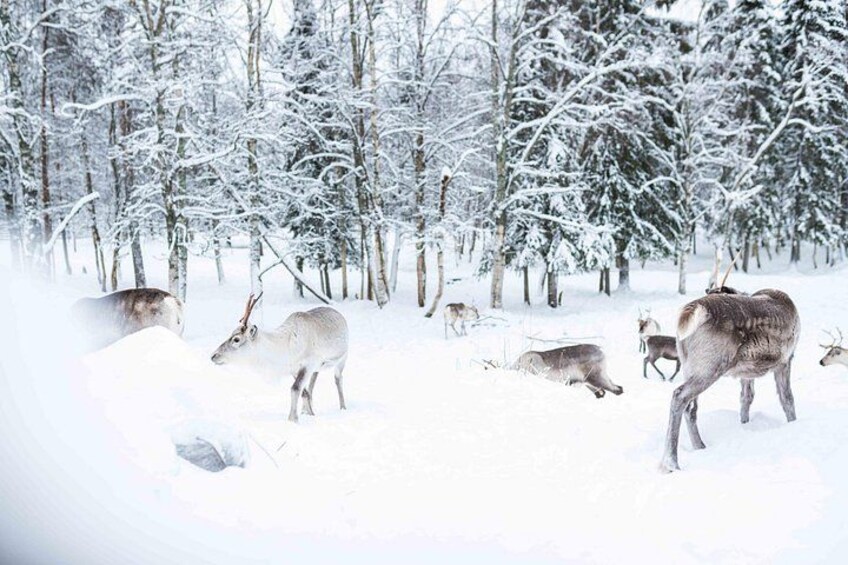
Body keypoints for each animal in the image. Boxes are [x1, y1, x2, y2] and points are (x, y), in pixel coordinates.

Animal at [210, 294, 349, 424]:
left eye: (236, 339)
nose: (213, 355)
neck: (284, 348)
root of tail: (339, 314)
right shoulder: (294, 369)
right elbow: (303, 393)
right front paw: (309, 413)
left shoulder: (308, 364)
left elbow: (295, 389)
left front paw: (293, 419)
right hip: (317, 368)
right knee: (312, 385)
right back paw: (305, 410)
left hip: (342, 359)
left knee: (338, 380)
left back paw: (343, 407)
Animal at [660, 253, 800, 473]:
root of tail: (692, 310)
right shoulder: (786, 360)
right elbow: (787, 399)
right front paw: (793, 424)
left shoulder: (747, 372)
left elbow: (746, 398)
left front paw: (744, 425)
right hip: (710, 366)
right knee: (679, 396)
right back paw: (671, 463)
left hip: (689, 365)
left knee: (691, 407)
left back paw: (700, 447)